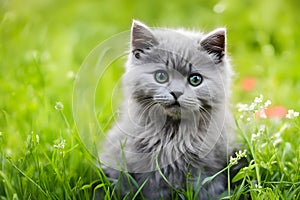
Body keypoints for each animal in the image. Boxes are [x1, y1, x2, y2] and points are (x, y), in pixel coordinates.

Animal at [99, 20, 236, 200]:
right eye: (161, 76)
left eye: (195, 79)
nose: (176, 93)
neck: (174, 134)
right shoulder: (149, 175)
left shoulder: (208, 170)